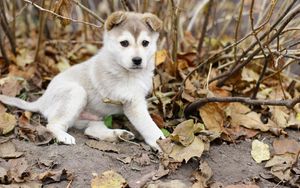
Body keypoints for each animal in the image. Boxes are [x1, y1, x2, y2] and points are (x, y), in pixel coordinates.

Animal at [0, 11, 164, 150]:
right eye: (124, 43)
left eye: (145, 43)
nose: (137, 60)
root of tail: (42, 100)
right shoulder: (133, 102)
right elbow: (148, 125)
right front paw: (160, 141)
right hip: (76, 93)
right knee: (53, 125)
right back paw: (64, 137)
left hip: (94, 118)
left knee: (90, 131)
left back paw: (119, 135)